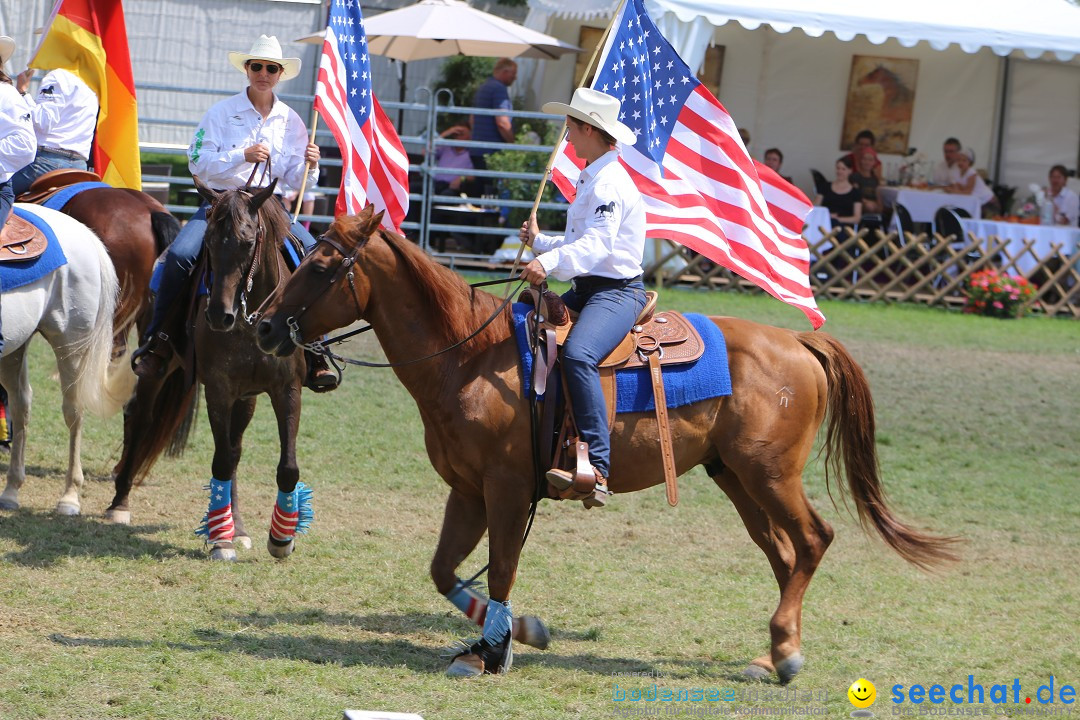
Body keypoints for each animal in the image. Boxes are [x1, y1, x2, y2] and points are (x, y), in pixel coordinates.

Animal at [0, 205, 132, 515]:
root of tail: (85, 233)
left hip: (71, 345)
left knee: (73, 411)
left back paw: (70, 497)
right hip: (15, 346)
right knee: (21, 404)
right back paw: (11, 490)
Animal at [254, 207, 963, 682]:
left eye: (321, 263)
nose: (260, 325)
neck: (470, 356)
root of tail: (798, 341)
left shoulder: (506, 488)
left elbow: (502, 567)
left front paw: (494, 651)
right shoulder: (467, 490)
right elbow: (444, 570)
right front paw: (517, 633)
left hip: (771, 475)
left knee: (814, 540)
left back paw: (786, 654)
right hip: (734, 478)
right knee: (784, 554)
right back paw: (771, 653)